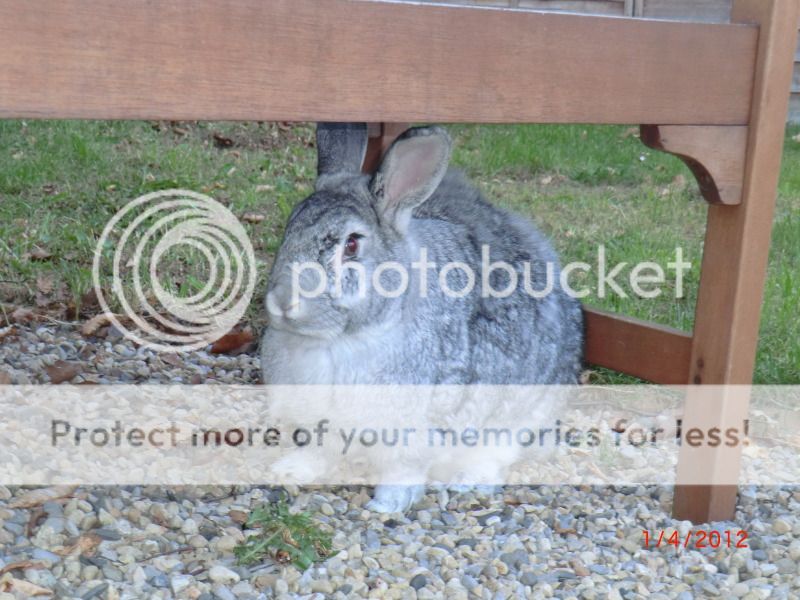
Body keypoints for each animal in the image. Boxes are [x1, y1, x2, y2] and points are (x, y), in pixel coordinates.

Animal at [262, 122, 580, 510]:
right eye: (288, 230)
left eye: (351, 245)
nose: (282, 300)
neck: (340, 341)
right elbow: (321, 453)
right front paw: (289, 471)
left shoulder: (417, 430)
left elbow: (404, 469)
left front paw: (387, 505)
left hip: (518, 419)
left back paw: (467, 482)